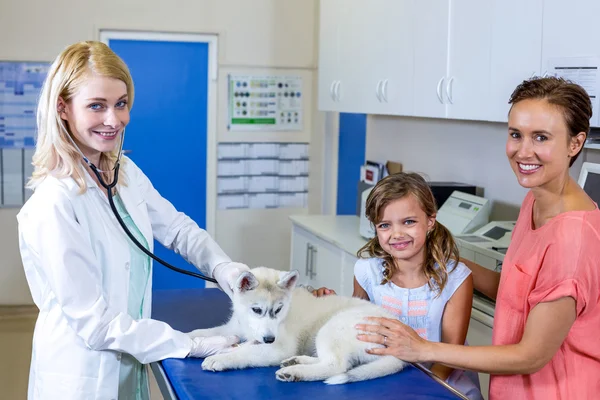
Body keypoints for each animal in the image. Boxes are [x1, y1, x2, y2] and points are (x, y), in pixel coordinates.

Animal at [190, 268, 406, 382]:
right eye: (257, 310)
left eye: (278, 309)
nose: (269, 339)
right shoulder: (233, 328)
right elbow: (203, 332)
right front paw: (192, 340)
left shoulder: (280, 347)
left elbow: (247, 352)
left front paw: (222, 359)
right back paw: (297, 361)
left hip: (332, 328)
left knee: (336, 365)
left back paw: (295, 372)